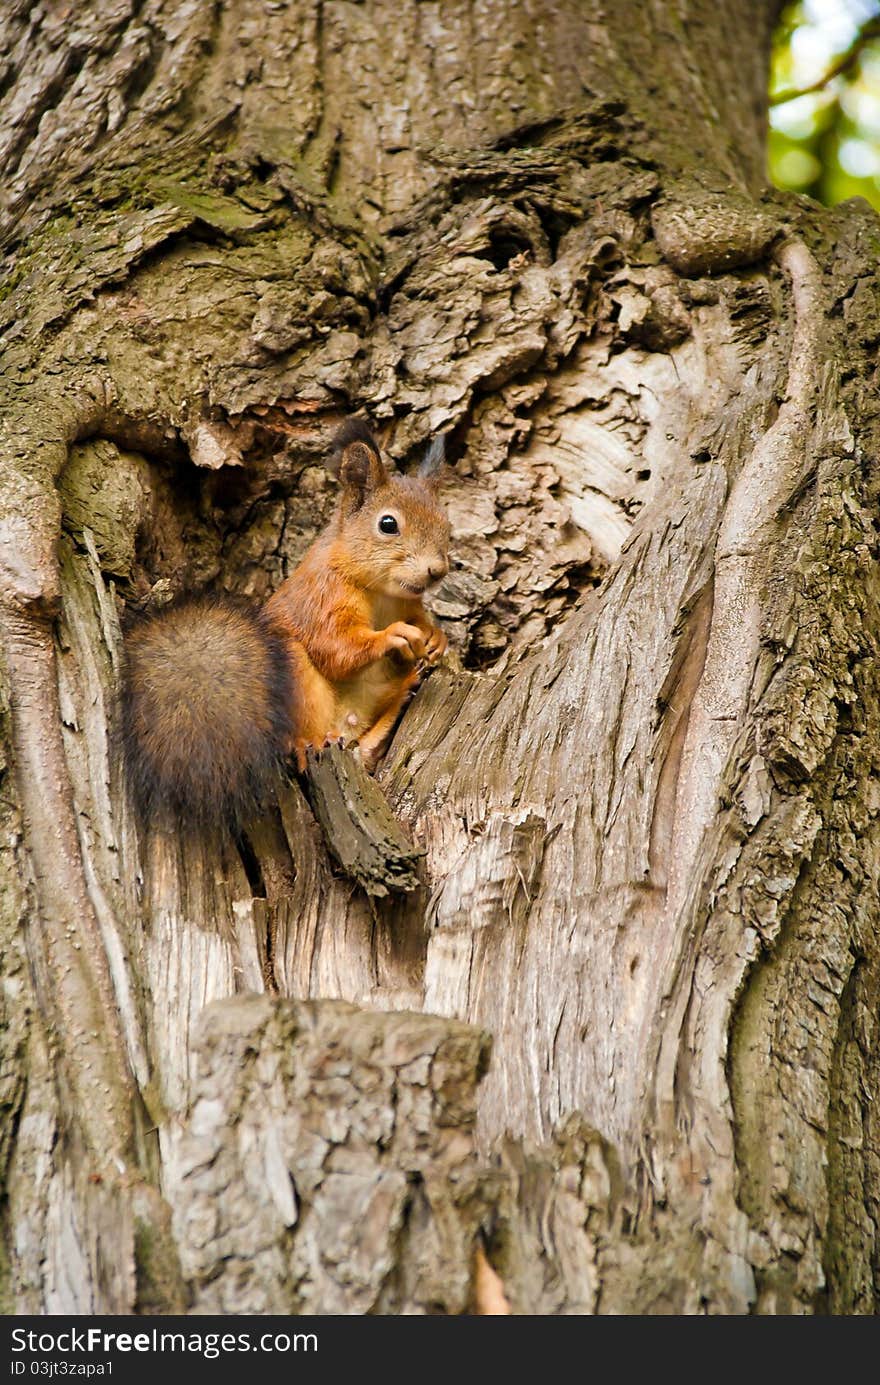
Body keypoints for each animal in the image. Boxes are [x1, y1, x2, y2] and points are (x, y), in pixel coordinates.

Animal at [121, 421, 454, 825]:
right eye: (388, 524)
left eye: (447, 526)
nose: (437, 571)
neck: (383, 594)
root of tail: (345, 728)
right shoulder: (320, 599)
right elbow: (336, 649)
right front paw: (393, 635)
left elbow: (420, 621)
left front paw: (436, 637)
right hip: (291, 672)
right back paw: (311, 741)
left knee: (367, 744)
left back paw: (405, 691)